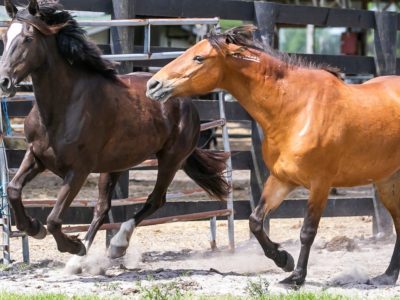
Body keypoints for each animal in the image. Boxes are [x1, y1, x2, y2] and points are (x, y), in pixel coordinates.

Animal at [0, 0, 230, 272]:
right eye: (5, 37)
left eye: (28, 38)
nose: (4, 81)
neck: (64, 105)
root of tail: (186, 102)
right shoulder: (36, 155)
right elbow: (14, 189)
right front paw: (34, 228)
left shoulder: (78, 170)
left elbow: (54, 218)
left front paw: (73, 245)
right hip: (115, 166)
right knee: (102, 208)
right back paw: (79, 261)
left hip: (170, 159)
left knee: (155, 200)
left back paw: (115, 246)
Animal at [147, 24, 400, 284]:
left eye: (199, 58)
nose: (153, 85)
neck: (298, 109)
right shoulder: (281, 179)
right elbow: (256, 221)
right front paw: (283, 259)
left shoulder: (320, 184)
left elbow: (307, 231)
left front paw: (296, 277)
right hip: (387, 184)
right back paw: (387, 276)